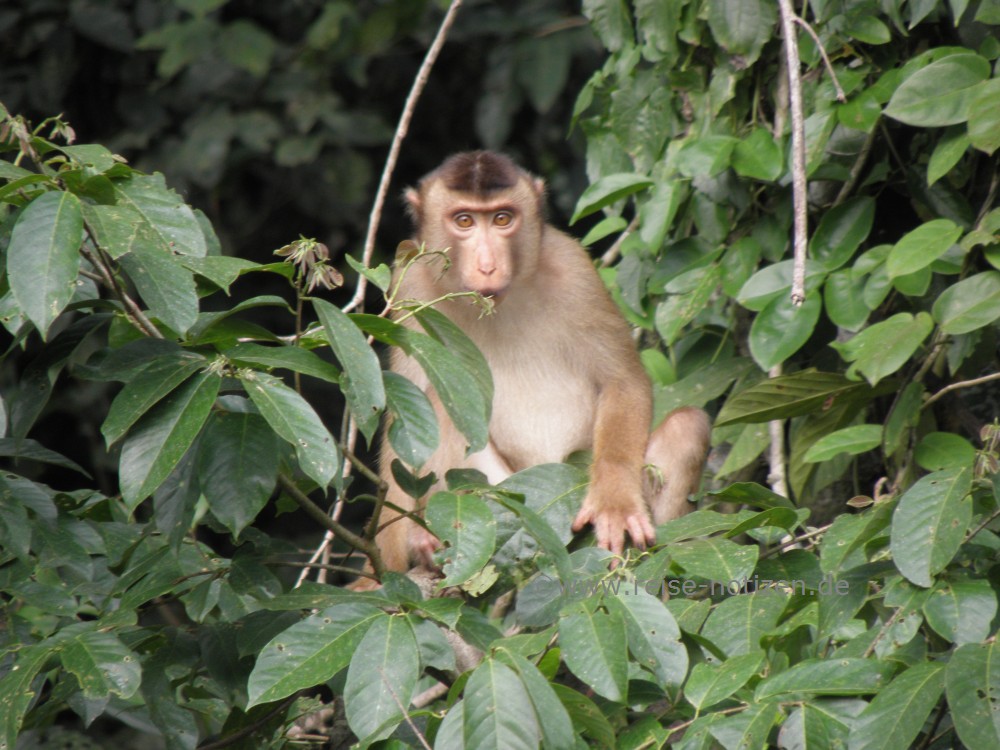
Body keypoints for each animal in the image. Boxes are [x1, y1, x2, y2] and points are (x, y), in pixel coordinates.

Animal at [370, 151, 712, 576]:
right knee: (440, 402)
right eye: (464, 221)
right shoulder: (412, 288)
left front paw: (615, 503)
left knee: (687, 426)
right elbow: (407, 412)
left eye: (503, 219)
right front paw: (396, 555)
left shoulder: (574, 268)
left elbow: (623, 380)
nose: (487, 266)